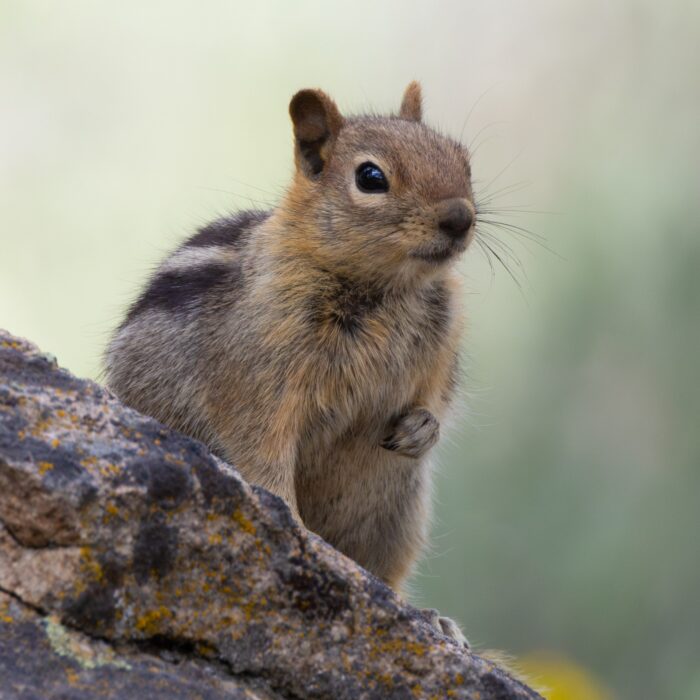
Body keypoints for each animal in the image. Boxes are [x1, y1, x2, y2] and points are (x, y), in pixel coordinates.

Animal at [105, 82, 476, 644]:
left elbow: (438, 398)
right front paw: (296, 533)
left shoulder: (443, 346)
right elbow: (262, 451)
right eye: (371, 177)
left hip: (397, 514)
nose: (460, 218)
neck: (383, 288)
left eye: (464, 160)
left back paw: (433, 619)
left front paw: (422, 428)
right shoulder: (258, 374)